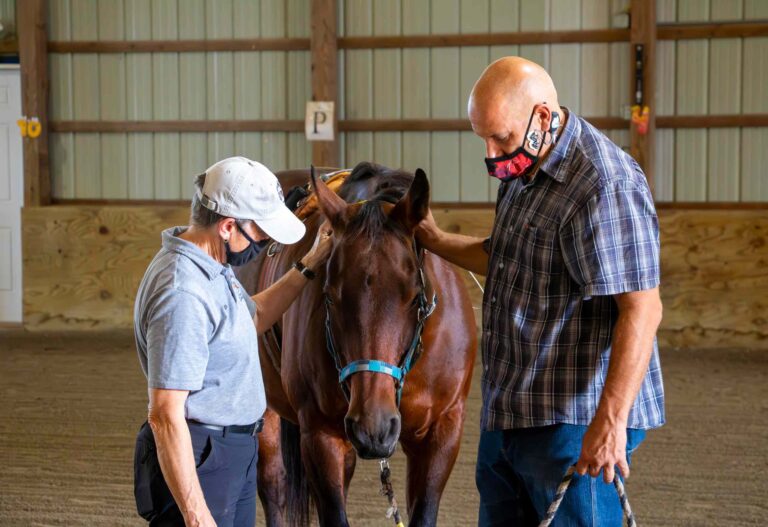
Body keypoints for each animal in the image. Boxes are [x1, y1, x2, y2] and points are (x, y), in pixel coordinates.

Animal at [236, 162, 477, 527]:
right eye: (330, 296)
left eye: (414, 297)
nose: (373, 427)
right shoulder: (321, 435)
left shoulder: (442, 433)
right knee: (274, 485)